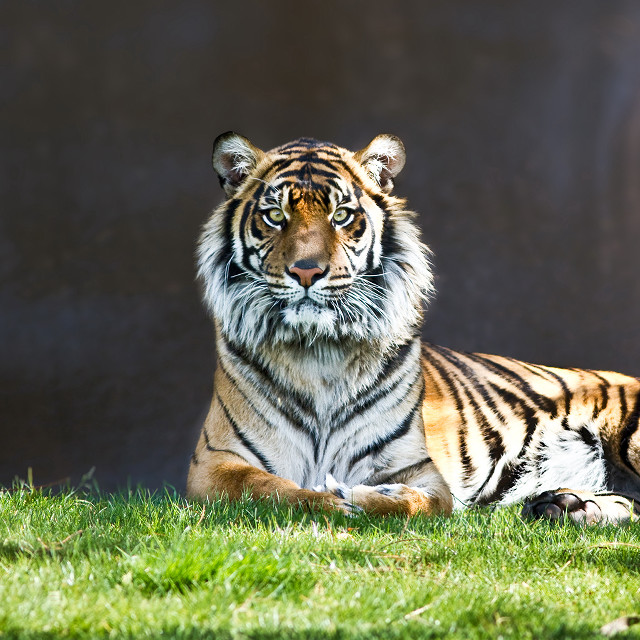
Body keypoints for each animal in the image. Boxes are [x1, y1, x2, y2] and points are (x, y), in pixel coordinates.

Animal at [186, 132, 640, 524]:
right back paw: (566, 505)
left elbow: (414, 503)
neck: (319, 353)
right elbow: (269, 489)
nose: (307, 271)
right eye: (275, 216)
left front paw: (357, 496)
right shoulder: (215, 464)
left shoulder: (423, 471)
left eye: (341, 216)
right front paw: (327, 500)